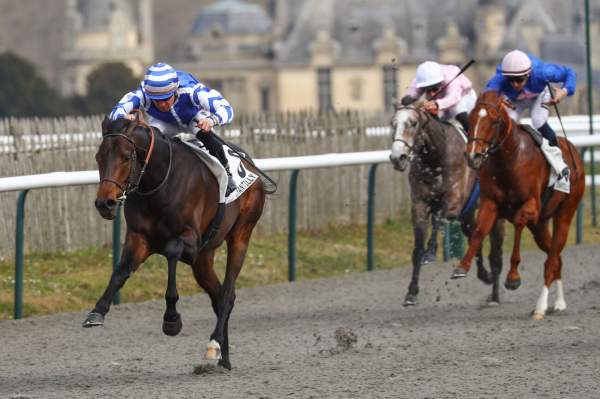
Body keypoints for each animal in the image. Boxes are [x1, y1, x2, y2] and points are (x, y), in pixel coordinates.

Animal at [83, 114, 266, 370]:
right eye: (99, 157)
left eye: (126, 156)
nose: (104, 203)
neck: (159, 183)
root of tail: (251, 167)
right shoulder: (139, 239)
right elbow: (120, 272)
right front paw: (97, 311)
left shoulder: (191, 240)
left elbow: (171, 250)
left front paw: (171, 319)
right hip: (203, 259)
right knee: (218, 296)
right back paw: (224, 357)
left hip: (241, 234)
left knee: (228, 294)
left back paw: (214, 345)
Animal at [390, 105, 506, 306]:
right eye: (393, 124)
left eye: (413, 123)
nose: (398, 157)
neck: (436, 157)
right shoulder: (419, 205)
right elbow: (417, 249)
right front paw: (411, 292)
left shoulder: (454, 202)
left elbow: (441, 218)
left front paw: (431, 252)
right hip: (468, 215)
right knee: (474, 235)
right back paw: (483, 276)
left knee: (496, 254)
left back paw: (495, 295)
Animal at [450, 91, 584, 322]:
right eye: (471, 120)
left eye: (494, 121)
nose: (474, 156)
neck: (508, 161)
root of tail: (574, 151)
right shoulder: (490, 203)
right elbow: (478, 232)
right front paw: (462, 267)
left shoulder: (530, 206)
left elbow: (519, 224)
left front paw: (513, 277)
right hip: (540, 225)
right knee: (555, 258)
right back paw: (558, 303)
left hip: (565, 213)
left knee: (552, 259)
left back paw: (541, 307)